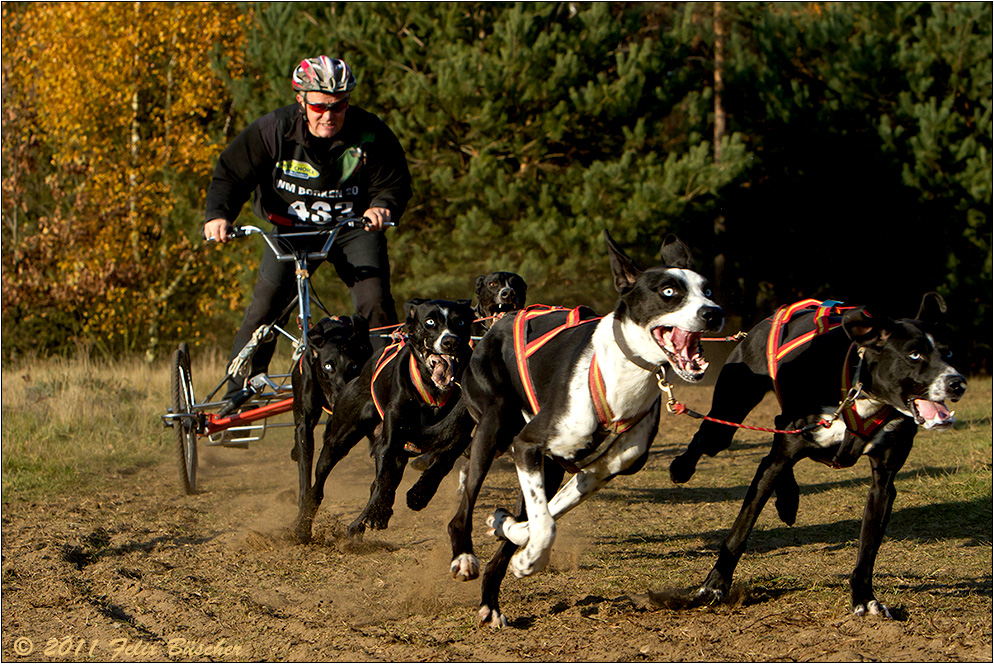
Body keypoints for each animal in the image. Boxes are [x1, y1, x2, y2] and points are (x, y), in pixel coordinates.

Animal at [290, 298, 472, 544]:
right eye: (430, 322)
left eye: (459, 321)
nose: (450, 341)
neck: (433, 393)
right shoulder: (391, 439)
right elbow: (384, 479)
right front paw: (378, 512)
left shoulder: (459, 436)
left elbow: (441, 463)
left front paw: (419, 494)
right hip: (337, 441)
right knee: (318, 483)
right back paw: (304, 526)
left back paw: (358, 525)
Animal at [446, 233, 716, 628]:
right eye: (669, 292)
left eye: (707, 289)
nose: (714, 312)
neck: (622, 375)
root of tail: (502, 320)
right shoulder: (527, 445)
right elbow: (546, 526)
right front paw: (528, 559)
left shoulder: (595, 472)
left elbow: (541, 518)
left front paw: (511, 531)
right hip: (494, 428)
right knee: (463, 504)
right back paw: (464, 556)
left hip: (549, 465)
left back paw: (492, 597)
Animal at [672, 294, 964, 616]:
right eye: (914, 355)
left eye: (948, 352)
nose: (957, 382)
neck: (860, 390)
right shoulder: (782, 453)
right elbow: (740, 531)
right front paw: (715, 586)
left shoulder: (884, 483)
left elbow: (868, 549)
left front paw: (864, 598)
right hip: (728, 417)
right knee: (711, 437)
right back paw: (681, 467)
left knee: (775, 435)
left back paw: (788, 501)